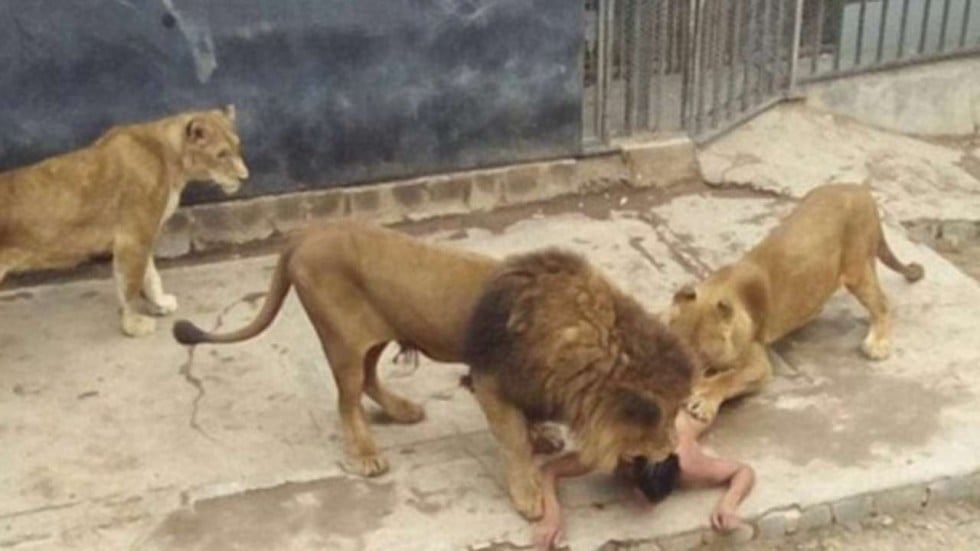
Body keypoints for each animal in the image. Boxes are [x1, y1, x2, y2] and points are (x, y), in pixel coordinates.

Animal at [0, 104, 249, 336]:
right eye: (221, 155)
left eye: (237, 148)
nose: (245, 177)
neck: (171, 158)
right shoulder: (133, 236)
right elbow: (131, 284)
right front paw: (134, 325)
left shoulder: (144, 232)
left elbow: (150, 275)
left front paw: (160, 303)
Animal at [668, 184, 928, 422]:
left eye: (703, 353)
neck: (716, 290)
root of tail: (861, 189)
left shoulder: (758, 363)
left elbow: (728, 378)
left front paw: (703, 399)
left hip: (857, 268)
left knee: (882, 304)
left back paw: (877, 344)